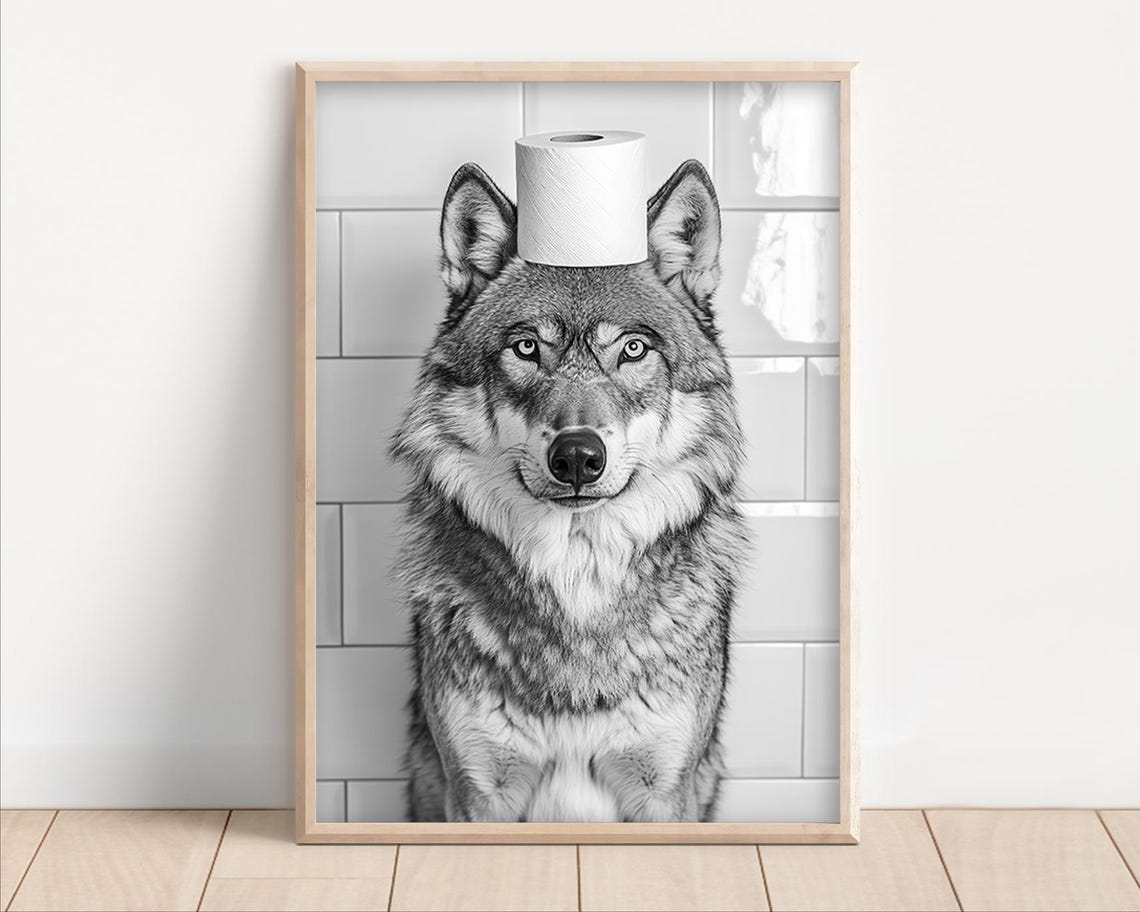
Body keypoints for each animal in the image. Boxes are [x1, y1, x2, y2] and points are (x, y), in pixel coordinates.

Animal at [390, 158, 745, 823]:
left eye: (633, 348)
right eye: (527, 347)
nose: (577, 457)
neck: (577, 583)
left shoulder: (665, 795)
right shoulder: (476, 794)